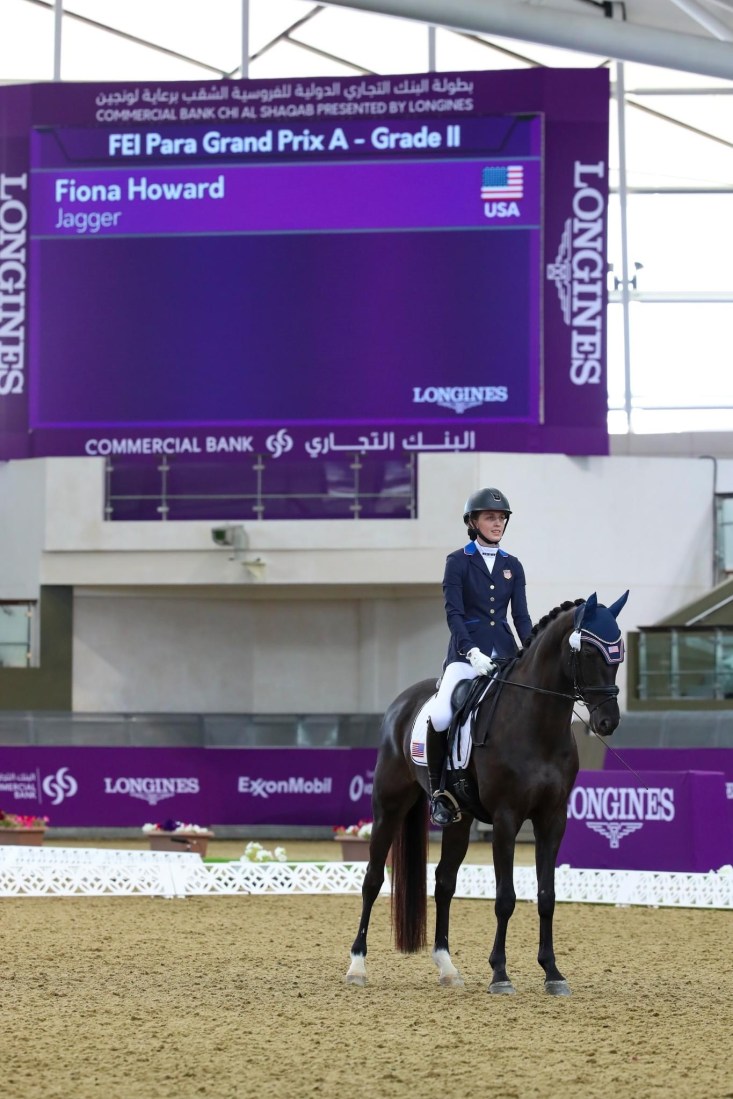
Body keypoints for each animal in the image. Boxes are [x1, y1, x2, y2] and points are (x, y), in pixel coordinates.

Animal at [347, 593, 628, 997]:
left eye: (618, 654)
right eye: (589, 652)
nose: (608, 722)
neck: (536, 723)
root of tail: (403, 701)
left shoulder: (552, 819)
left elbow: (547, 896)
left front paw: (553, 973)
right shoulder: (506, 818)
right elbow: (505, 898)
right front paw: (500, 973)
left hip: (458, 820)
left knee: (444, 882)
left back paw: (447, 968)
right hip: (389, 805)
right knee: (372, 880)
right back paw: (357, 965)